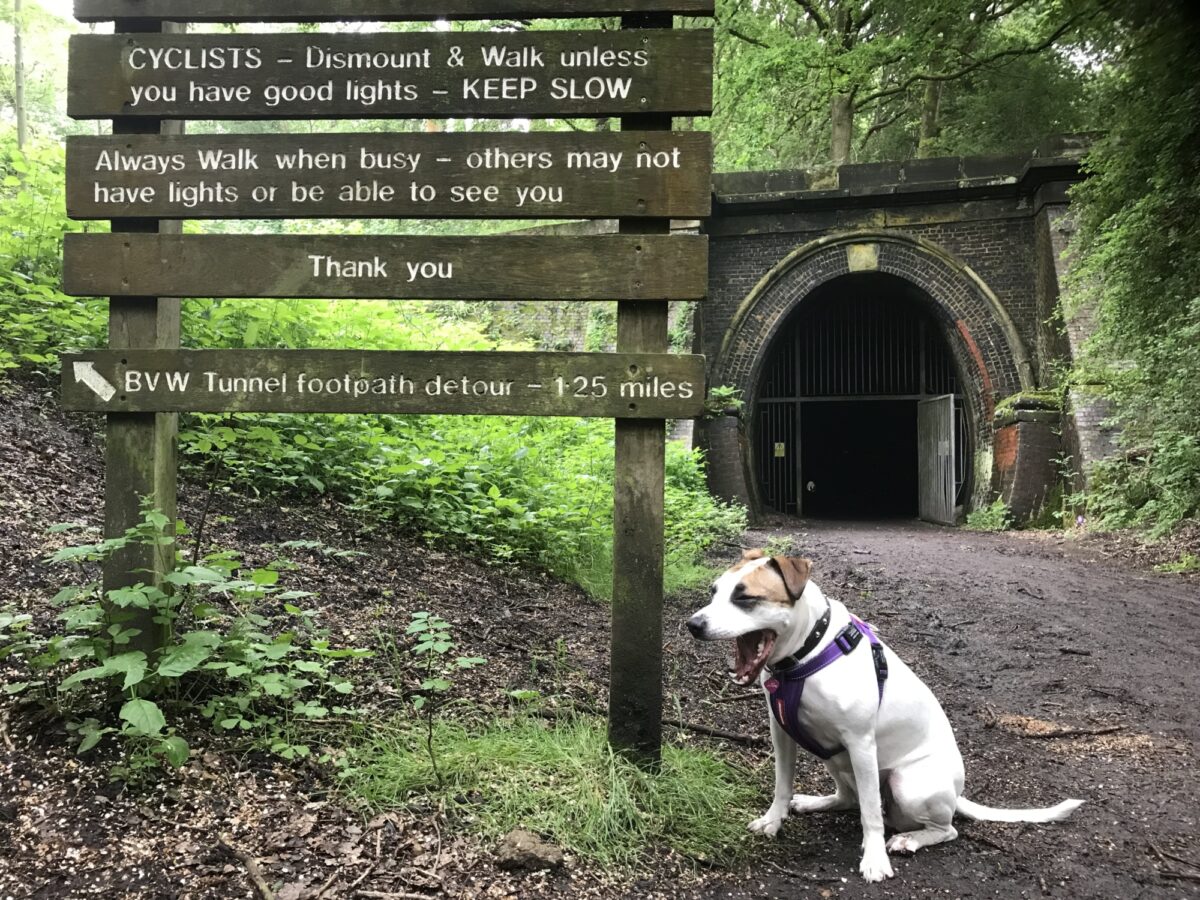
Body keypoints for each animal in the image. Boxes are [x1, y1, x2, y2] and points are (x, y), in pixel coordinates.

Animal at [686, 554, 1089, 883]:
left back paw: (909, 839)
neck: (809, 650)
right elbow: (782, 786)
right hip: (835, 759)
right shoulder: (782, 732)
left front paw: (875, 860)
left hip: (907, 783)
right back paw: (816, 802)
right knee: (848, 797)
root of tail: (956, 793)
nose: (693, 624)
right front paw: (773, 821)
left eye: (745, 597)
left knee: (945, 829)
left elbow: (871, 815)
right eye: (714, 592)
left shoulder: (862, 745)